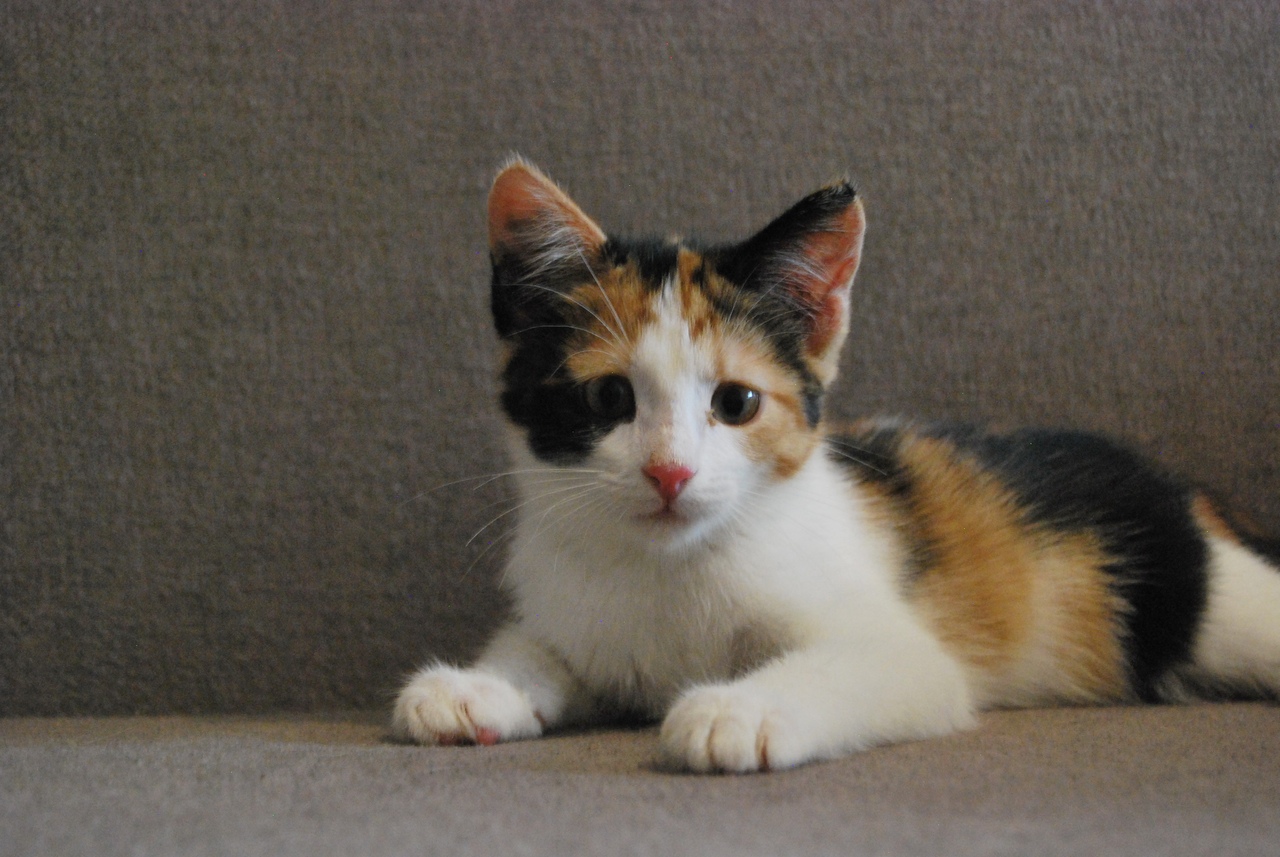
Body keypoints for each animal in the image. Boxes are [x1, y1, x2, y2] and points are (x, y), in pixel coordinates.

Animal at [393, 158, 1280, 772]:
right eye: (611, 396)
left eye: (737, 403)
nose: (670, 473)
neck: (664, 570)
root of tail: (1192, 494)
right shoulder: (578, 612)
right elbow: (539, 647)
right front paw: (476, 686)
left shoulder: (905, 652)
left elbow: (850, 664)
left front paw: (738, 710)